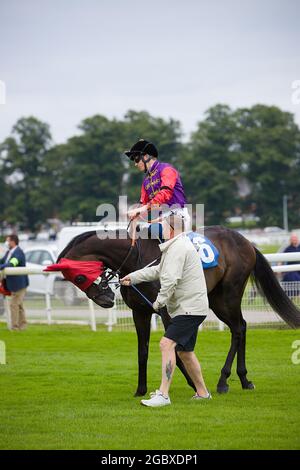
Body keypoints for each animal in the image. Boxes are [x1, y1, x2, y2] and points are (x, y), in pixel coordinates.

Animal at [55, 226, 300, 394]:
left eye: (78, 277)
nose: (105, 300)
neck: (136, 258)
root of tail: (246, 241)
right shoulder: (140, 313)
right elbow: (142, 352)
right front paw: (140, 390)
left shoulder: (166, 312)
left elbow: (175, 349)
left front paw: (193, 383)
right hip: (216, 299)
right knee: (241, 327)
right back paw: (243, 379)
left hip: (229, 295)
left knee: (239, 328)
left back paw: (224, 381)